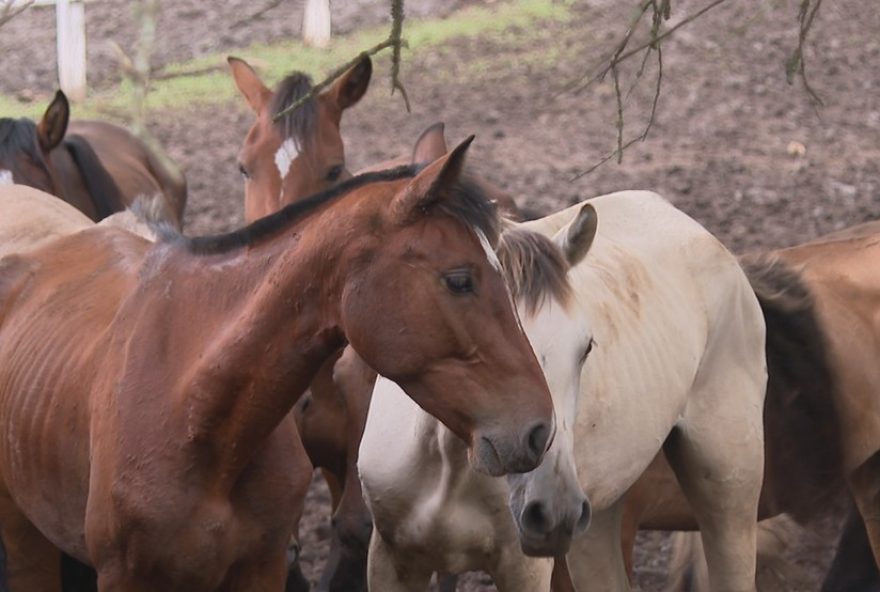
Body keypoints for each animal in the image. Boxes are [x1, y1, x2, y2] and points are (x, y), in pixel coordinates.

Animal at [0, 140, 552, 592]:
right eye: (459, 280)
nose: (539, 430)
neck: (196, 415)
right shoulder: (126, 578)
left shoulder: (260, 569)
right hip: (24, 542)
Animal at [360, 191, 768, 592]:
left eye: (585, 348)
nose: (554, 510)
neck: (449, 462)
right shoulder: (392, 558)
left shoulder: (523, 568)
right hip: (597, 518)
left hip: (727, 486)